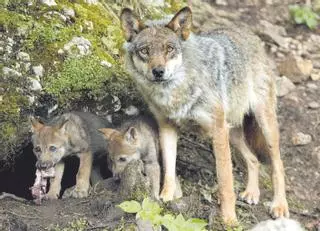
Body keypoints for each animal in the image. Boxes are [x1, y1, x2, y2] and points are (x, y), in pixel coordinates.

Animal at [120, 7, 290, 226]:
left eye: (169, 49)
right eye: (145, 50)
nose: (158, 71)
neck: (175, 92)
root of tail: (250, 35)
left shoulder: (217, 132)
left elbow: (225, 183)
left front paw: (229, 220)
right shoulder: (167, 127)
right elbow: (169, 168)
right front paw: (165, 197)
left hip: (263, 126)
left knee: (278, 164)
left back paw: (279, 205)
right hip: (232, 133)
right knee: (253, 160)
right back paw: (252, 193)